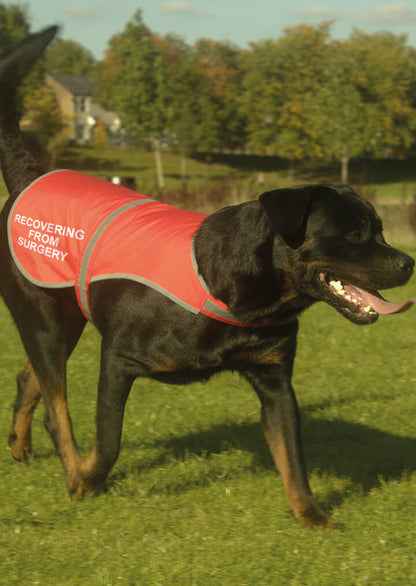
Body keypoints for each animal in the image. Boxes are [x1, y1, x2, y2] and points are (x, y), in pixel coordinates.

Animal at [0, 29, 416, 528]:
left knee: (32, 378)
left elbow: (291, 453)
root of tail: (30, 179)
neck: (246, 291)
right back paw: (69, 466)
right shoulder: (119, 359)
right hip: (42, 315)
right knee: (55, 402)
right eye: (354, 234)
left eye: (382, 231)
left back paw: (20, 446)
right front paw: (87, 478)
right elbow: (109, 440)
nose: (408, 263)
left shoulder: (275, 378)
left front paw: (311, 514)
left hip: (68, 319)